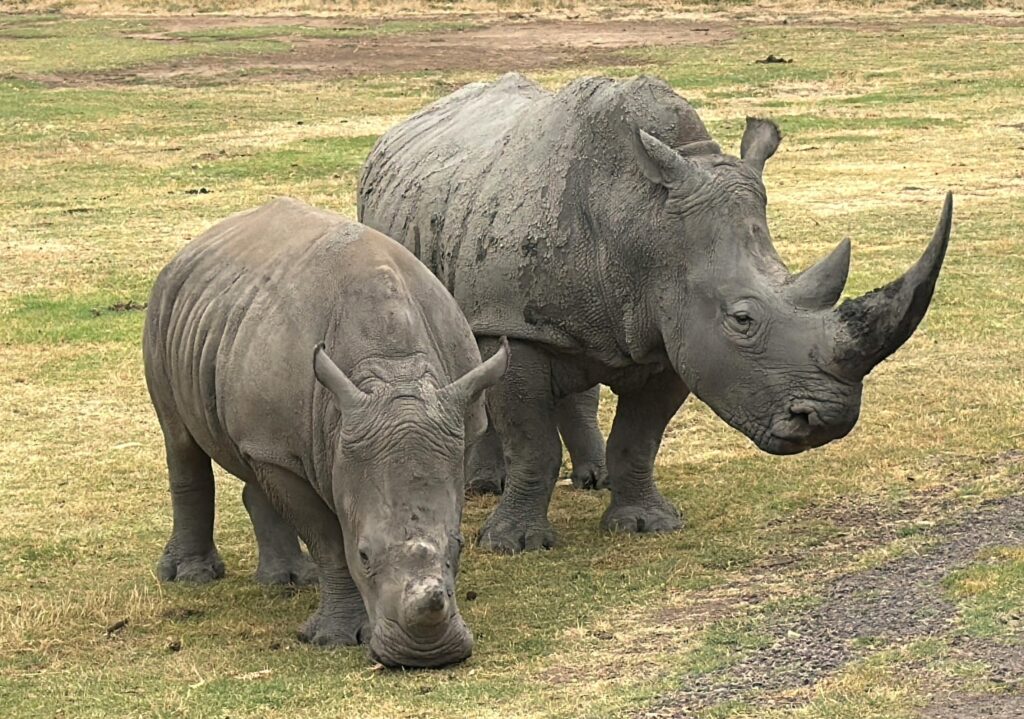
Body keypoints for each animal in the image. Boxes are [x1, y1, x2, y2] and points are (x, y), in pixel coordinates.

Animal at [143, 198, 509, 667]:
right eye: (364, 554)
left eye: (460, 547)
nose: (425, 655)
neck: (394, 374)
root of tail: (194, 246)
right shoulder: (286, 446)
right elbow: (329, 540)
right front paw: (334, 639)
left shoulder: (458, 424)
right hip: (165, 307)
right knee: (180, 440)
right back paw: (191, 577)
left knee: (253, 461)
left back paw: (290, 581)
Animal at [357, 73, 952, 554]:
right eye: (742, 319)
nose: (827, 423)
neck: (643, 221)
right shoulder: (514, 323)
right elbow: (531, 442)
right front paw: (514, 545)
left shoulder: (674, 332)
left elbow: (639, 439)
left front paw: (647, 523)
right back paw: (485, 487)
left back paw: (592, 478)